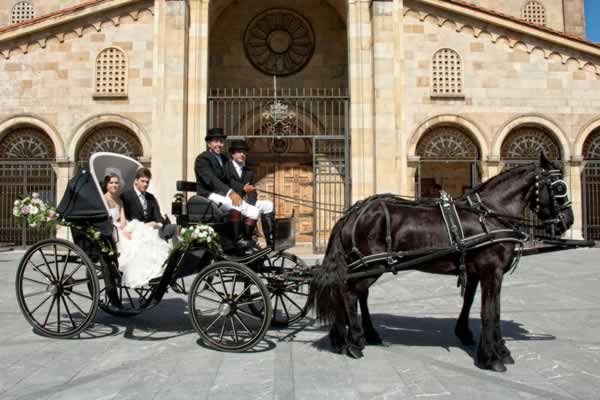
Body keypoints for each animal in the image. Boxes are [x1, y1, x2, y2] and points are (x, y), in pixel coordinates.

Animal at [308, 153, 576, 372]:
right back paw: (352, 341)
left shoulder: (476, 271)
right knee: (348, 293)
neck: (489, 215)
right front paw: (491, 358)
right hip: (371, 266)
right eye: (559, 186)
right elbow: (490, 311)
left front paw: (487, 344)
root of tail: (353, 212)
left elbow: (478, 304)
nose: (568, 221)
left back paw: (351, 337)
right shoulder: (492, 270)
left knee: (352, 292)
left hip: (367, 265)